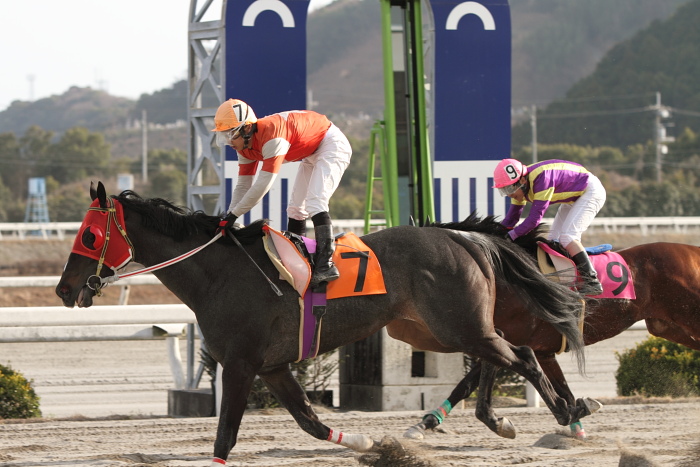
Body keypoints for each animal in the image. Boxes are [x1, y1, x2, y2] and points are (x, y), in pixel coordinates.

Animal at [56, 183, 592, 464]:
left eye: (89, 235)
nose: (64, 290)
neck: (220, 273)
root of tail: (463, 238)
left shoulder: (241, 363)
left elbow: (226, 433)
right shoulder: (271, 366)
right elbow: (308, 420)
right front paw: (363, 441)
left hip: (457, 325)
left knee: (522, 356)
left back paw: (571, 415)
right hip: (438, 328)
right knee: (498, 358)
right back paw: (502, 420)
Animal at [400, 214, 700, 440]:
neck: (508, 277)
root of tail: (693, 250)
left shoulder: (501, 339)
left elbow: (479, 379)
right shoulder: (535, 348)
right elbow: (466, 385)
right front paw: (424, 423)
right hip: (668, 327)